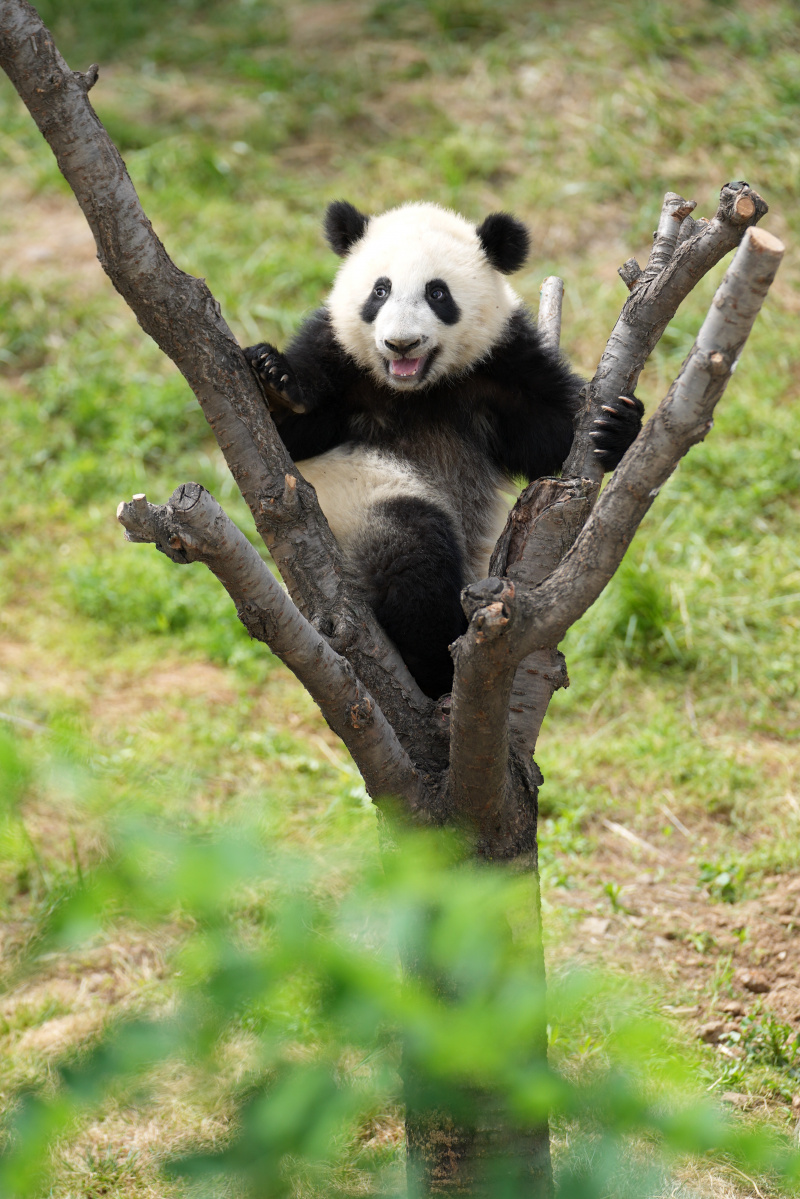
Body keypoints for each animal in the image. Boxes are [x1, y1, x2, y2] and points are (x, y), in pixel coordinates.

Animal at [245, 200, 642, 699]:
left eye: (438, 293)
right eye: (380, 290)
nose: (401, 343)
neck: (417, 389)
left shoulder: (501, 364)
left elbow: (549, 438)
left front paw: (617, 428)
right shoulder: (335, 354)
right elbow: (288, 433)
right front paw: (274, 381)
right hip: (355, 507)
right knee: (414, 551)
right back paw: (435, 664)